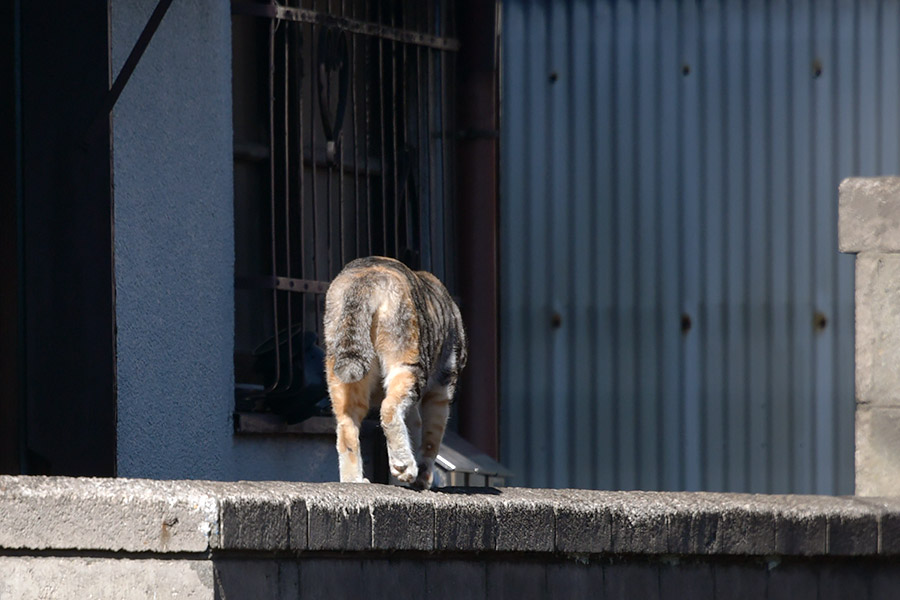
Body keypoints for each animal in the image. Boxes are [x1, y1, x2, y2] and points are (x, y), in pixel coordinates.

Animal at [324, 255, 468, 490]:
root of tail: (366, 278)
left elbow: (416, 428)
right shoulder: (442, 388)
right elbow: (432, 438)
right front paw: (422, 477)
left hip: (341, 371)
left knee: (346, 428)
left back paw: (354, 481)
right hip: (407, 359)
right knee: (389, 408)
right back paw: (404, 464)